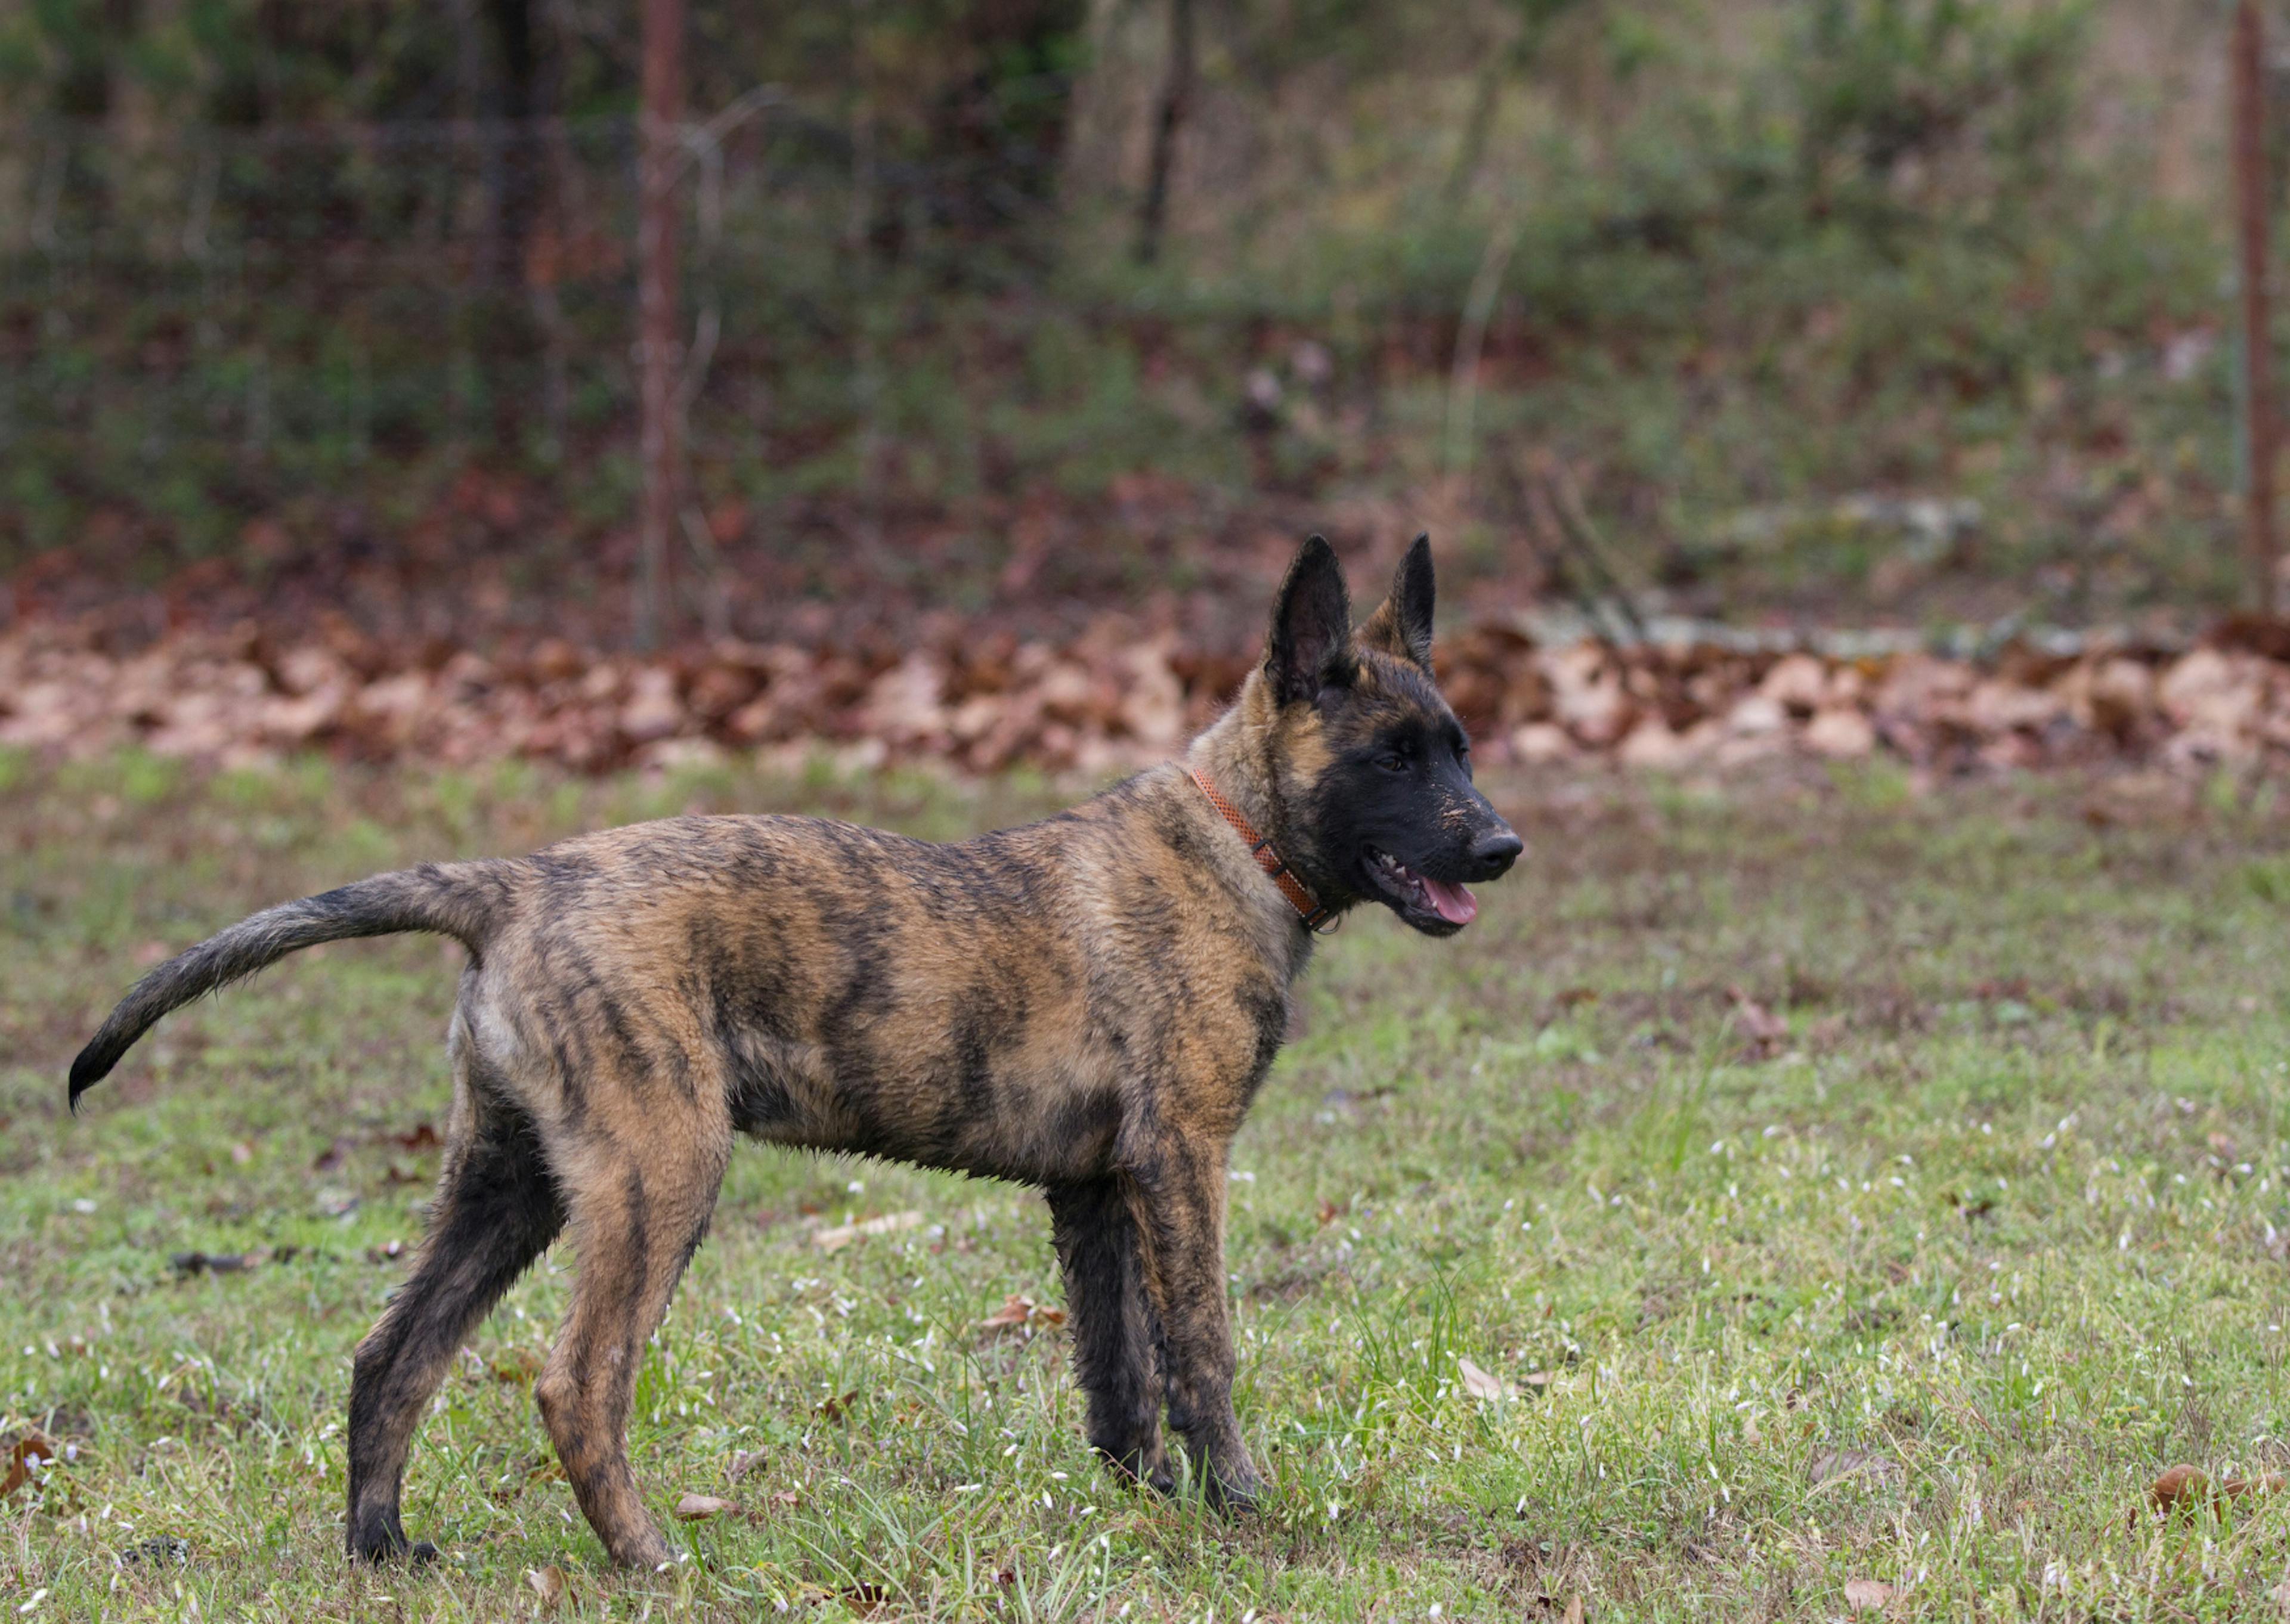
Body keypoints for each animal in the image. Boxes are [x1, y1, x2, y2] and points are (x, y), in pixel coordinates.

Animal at [67, 538, 1520, 1566]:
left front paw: (1149, 1511)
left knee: (394, 1354)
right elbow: (1204, 1355)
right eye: (1398, 758)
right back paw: (650, 1558)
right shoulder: (1183, 1162)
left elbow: (1120, 1381)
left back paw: (381, 1550)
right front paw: (1241, 1510)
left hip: (509, 1183)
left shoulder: (1096, 1190)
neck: (1235, 838)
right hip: (658, 1174)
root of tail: (516, 883)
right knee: (575, 1382)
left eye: (1460, 748)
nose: (1502, 845)